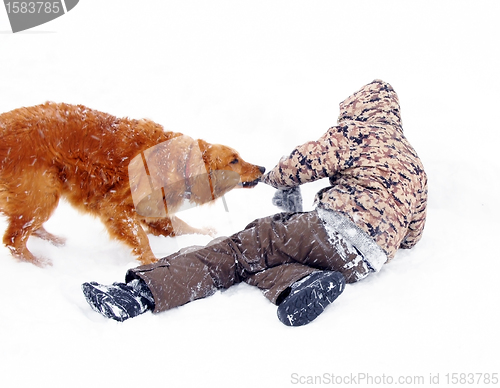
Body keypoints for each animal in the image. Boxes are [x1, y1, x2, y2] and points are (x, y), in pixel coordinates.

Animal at [0, 103, 266, 266]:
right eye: (234, 160)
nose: (262, 168)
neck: (179, 163)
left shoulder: (153, 211)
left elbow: (180, 225)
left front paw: (207, 233)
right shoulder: (116, 208)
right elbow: (141, 239)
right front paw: (153, 263)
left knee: (28, 229)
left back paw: (55, 242)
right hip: (41, 192)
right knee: (14, 240)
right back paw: (39, 263)